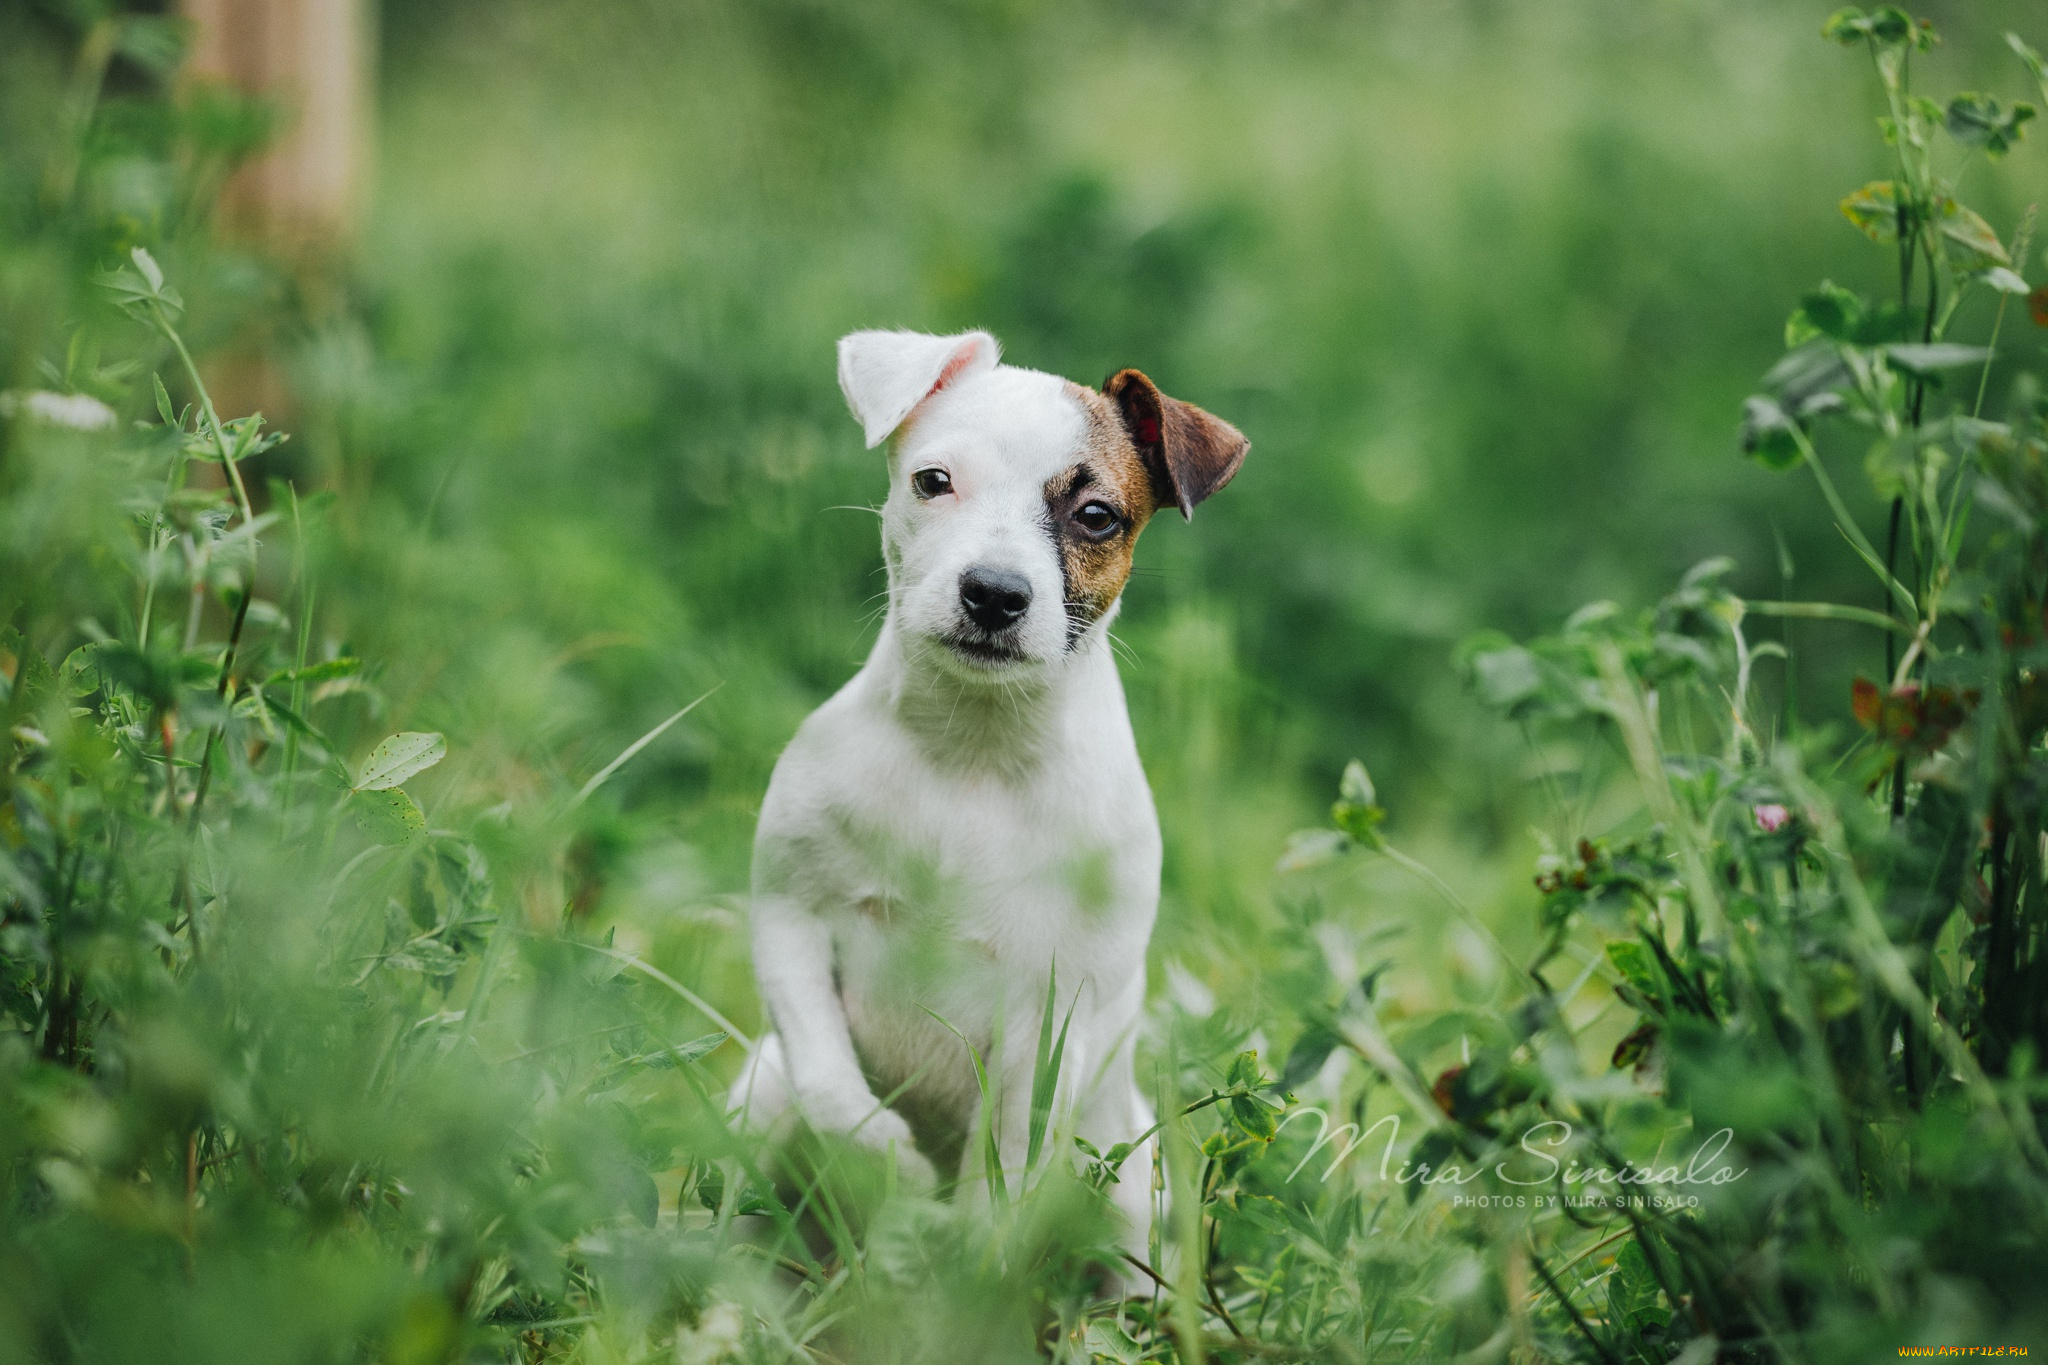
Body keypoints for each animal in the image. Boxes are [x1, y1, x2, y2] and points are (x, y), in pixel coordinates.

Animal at [737, 327, 1245, 1252]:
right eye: (933, 481)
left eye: (1096, 516)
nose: (995, 593)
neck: (972, 750)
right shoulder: (790, 919)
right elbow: (829, 1083)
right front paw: (890, 1160)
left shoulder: (1055, 1017)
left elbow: (1003, 1162)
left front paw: (962, 1245)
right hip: (757, 1098)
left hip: (1129, 1201)